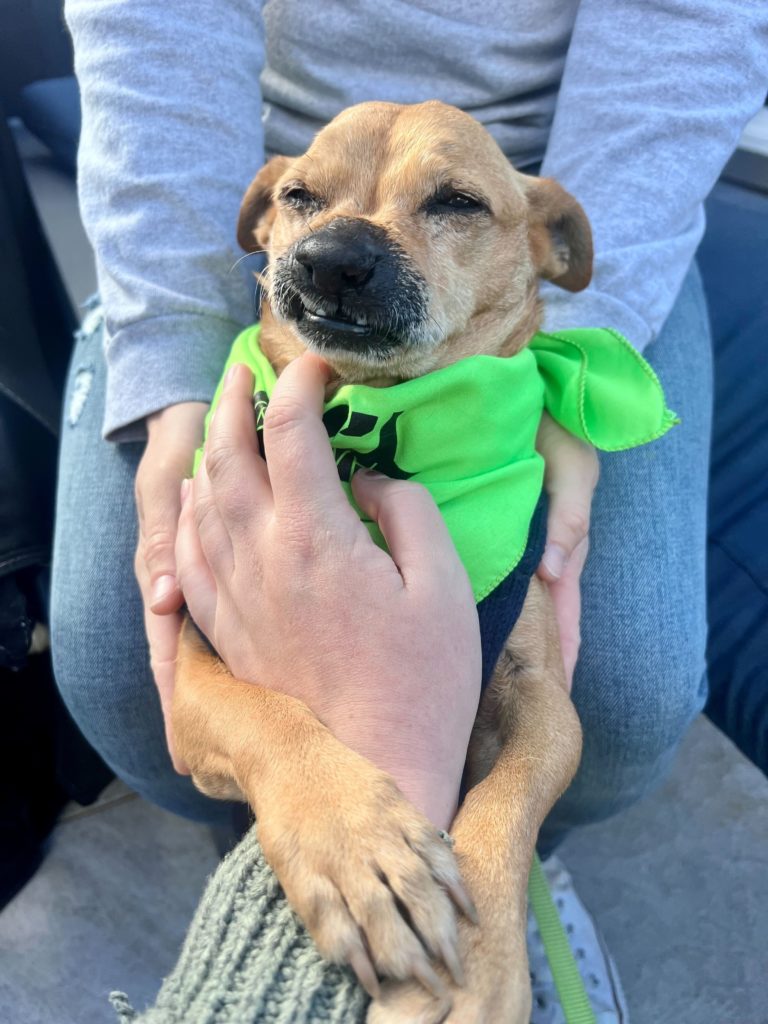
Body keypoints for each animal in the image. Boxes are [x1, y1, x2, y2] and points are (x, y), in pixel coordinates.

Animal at [171, 97, 585, 1024]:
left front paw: (485, 963)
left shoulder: (546, 702)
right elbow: (269, 716)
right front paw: (356, 846)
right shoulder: (188, 676)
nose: (331, 255)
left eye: (458, 202)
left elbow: (509, 798)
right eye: (298, 196)